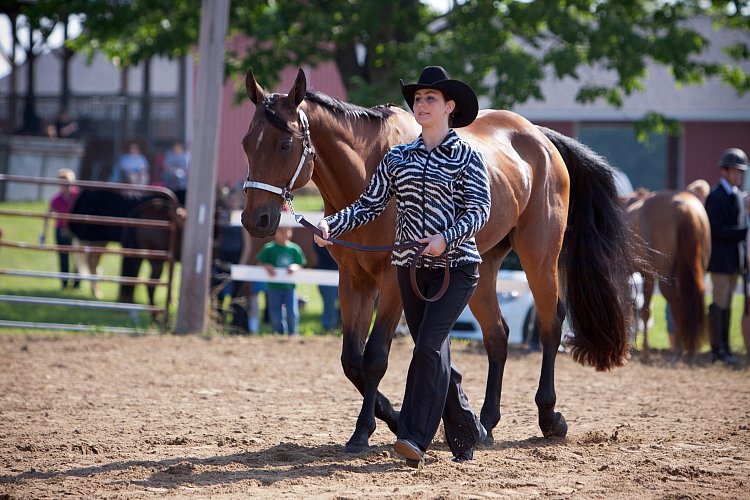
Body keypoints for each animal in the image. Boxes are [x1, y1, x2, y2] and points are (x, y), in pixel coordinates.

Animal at [239, 68, 636, 452]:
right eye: (246, 144)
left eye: (285, 144)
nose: (255, 220)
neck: (367, 168)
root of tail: (540, 137)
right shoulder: (353, 279)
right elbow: (352, 361)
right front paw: (396, 419)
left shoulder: (391, 280)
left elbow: (374, 358)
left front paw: (363, 432)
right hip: (484, 266)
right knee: (497, 335)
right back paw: (485, 423)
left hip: (539, 254)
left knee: (551, 324)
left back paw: (549, 418)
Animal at [624, 189, 712, 362]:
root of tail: (685, 208)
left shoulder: (647, 276)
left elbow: (642, 311)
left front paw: (644, 352)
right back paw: (690, 350)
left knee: (676, 304)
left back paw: (677, 350)